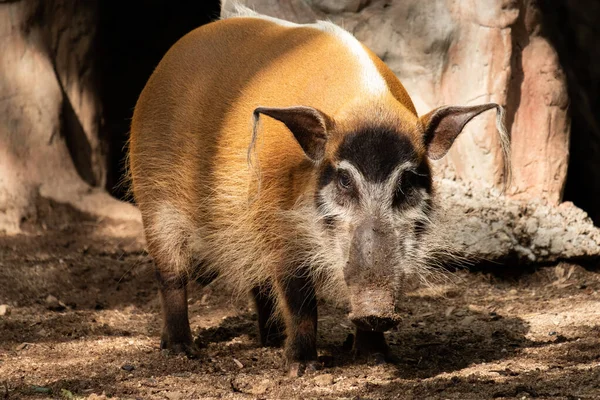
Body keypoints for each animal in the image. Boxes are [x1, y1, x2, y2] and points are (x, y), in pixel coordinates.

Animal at [127, 3, 510, 378]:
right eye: (344, 179)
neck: (367, 108)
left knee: (259, 282)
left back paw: (270, 342)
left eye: (406, 180)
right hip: (154, 197)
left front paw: (376, 359)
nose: (375, 309)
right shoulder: (281, 229)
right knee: (172, 274)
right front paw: (302, 368)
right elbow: (300, 299)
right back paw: (181, 350)